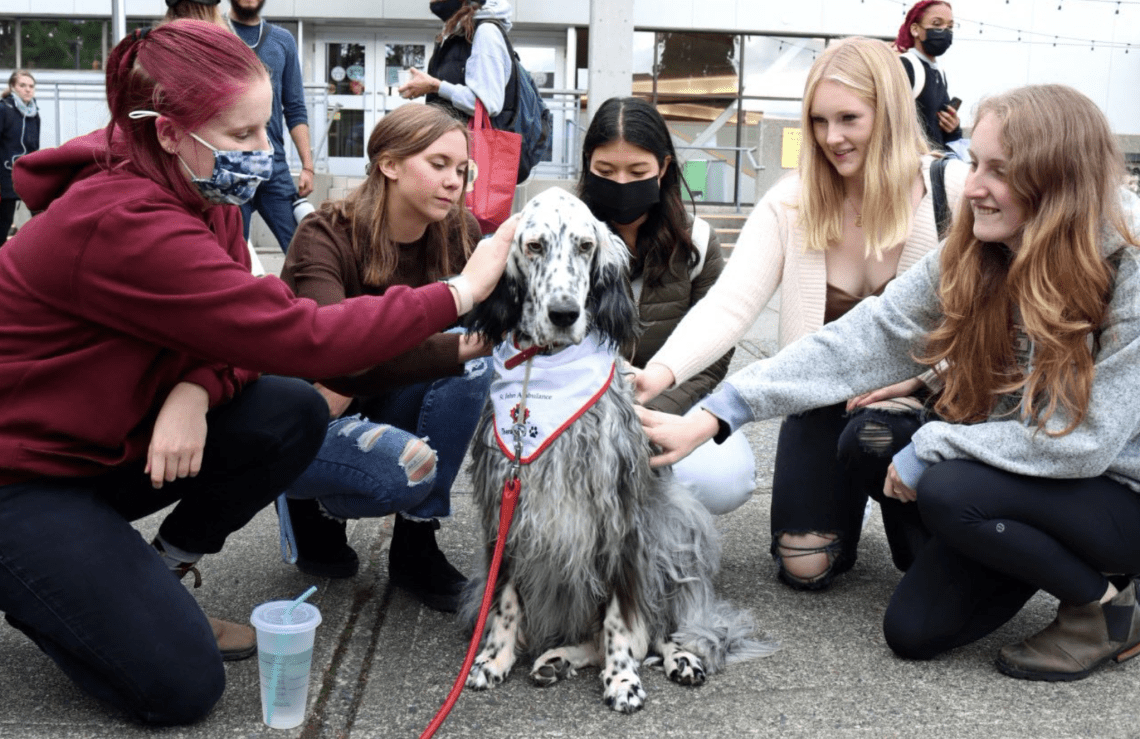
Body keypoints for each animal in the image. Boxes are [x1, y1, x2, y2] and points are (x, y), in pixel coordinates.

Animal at [462, 188, 775, 711]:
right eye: (533, 245)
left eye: (586, 246)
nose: (564, 314)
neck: (545, 369)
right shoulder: (504, 504)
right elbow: (503, 598)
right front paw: (493, 658)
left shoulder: (620, 517)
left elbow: (621, 619)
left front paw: (623, 677)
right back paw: (557, 659)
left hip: (675, 534)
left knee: (658, 631)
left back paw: (680, 659)